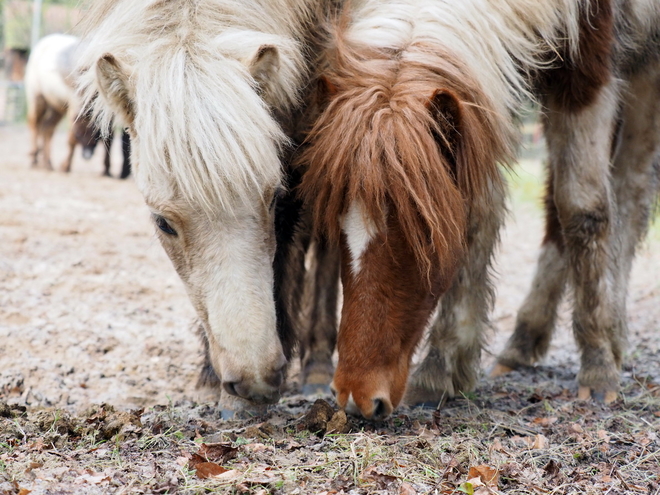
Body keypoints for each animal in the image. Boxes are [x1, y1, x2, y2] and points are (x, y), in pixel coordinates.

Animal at [302, 0, 660, 420]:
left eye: (422, 234)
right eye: (337, 226)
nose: (357, 396)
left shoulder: (587, 70)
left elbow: (582, 208)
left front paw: (598, 366)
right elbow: (482, 213)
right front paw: (442, 369)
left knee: (629, 189)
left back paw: (611, 338)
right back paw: (523, 342)